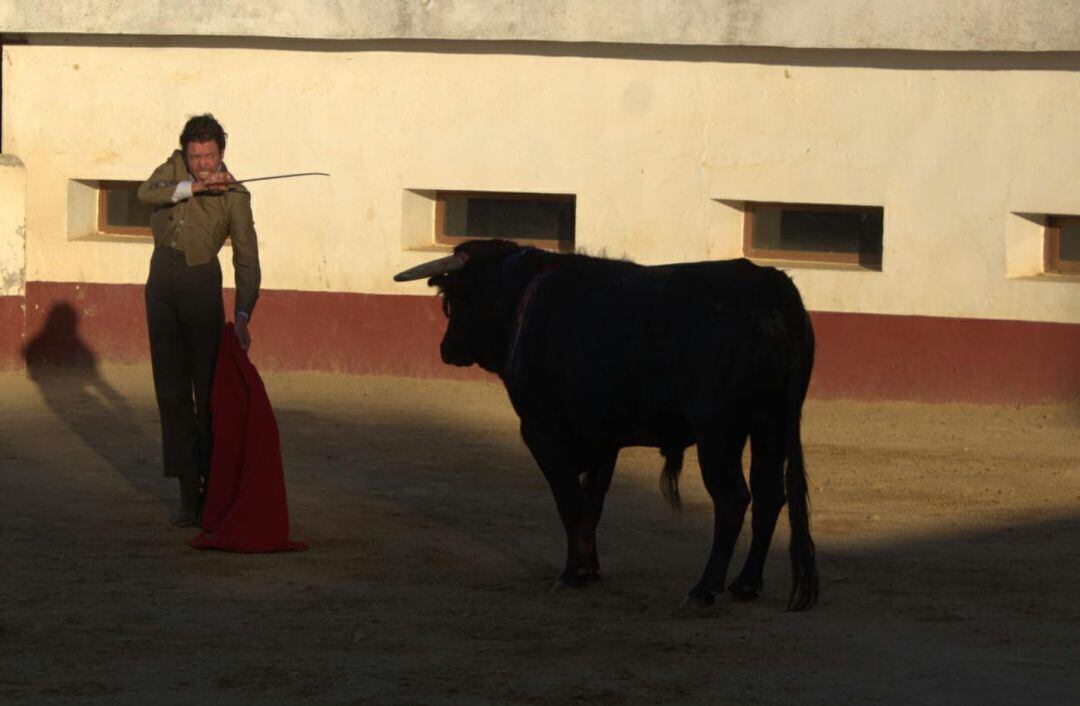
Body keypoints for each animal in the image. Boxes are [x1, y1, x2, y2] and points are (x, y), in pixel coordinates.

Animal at [397, 240, 816, 613]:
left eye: (451, 302)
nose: (446, 350)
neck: (519, 296)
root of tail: (773, 287)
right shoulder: (603, 439)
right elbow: (591, 504)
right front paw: (590, 569)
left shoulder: (541, 431)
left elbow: (568, 501)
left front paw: (572, 573)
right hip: (771, 424)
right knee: (769, 496)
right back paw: (745, 585)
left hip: (719, 432)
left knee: (732, 499)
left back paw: (703, 590)